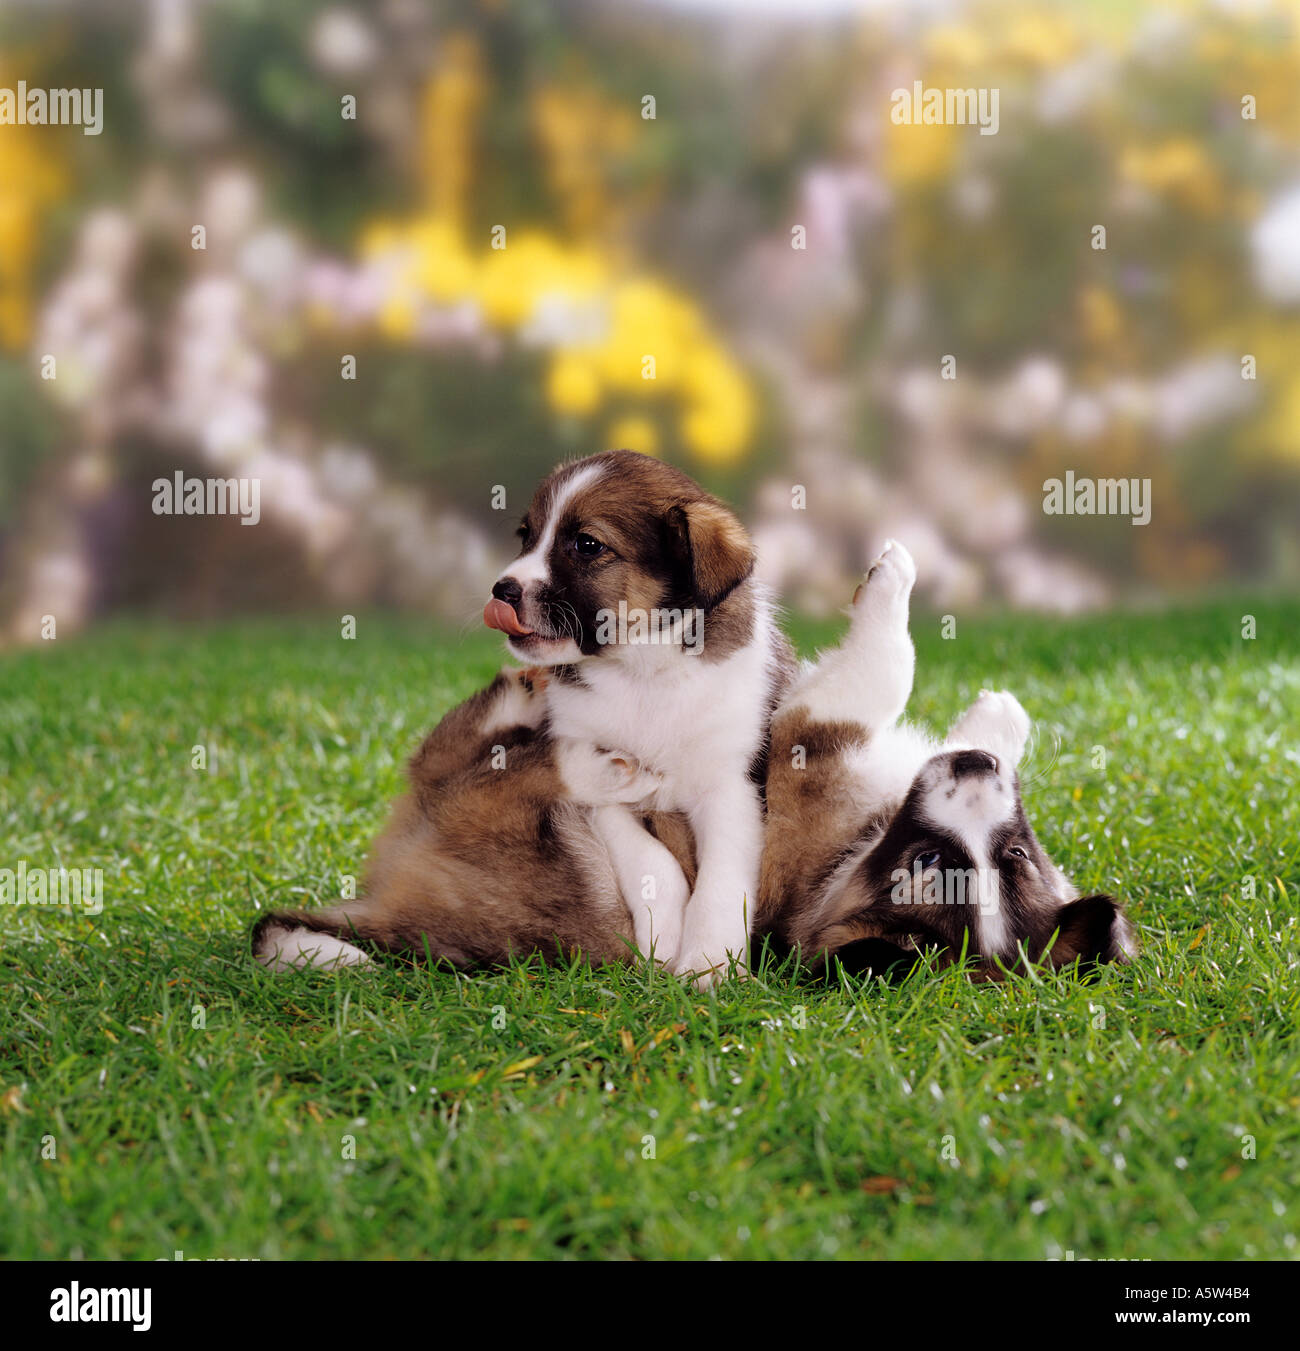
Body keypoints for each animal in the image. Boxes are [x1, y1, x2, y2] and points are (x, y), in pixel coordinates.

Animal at [756, 540, 1129, 983]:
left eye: (925, 860)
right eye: (1019, 852)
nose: (977, 762)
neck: (852, 850)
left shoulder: (810, 744)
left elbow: (887, 669)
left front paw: (893, 576)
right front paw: (1002, 714)